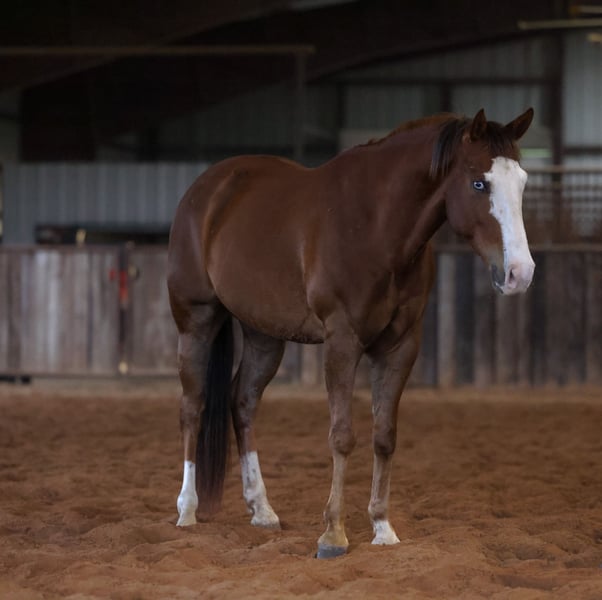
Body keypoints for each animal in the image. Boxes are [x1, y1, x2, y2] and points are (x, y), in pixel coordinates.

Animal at [167, 107, 535, 558]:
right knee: (193, 406)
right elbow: (342, 436)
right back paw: (187, 510)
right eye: (479, 182)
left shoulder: (401, 346)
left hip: (263, 335)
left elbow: (384, 435)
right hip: (195, 320)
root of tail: (206, 190)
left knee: (243, 402)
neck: (377, 227)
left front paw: (382, 527)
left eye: (522, 182)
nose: (520, 273)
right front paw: (333, 534)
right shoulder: (342, 340)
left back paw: (262, 509)